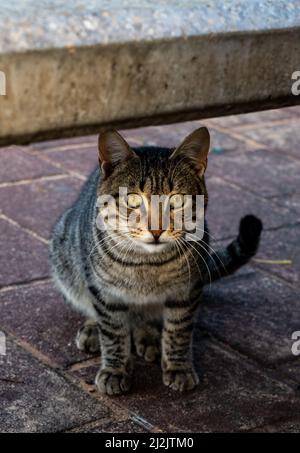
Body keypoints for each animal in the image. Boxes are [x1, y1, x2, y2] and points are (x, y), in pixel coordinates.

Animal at [49, 126, 262, 392]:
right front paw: (114, 369)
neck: (147, 264)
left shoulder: (186, 290)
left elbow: (178, 331)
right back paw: (92, 330)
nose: (157, 230)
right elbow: (113, 332)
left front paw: (178, 367)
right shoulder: (105, 292)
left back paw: (148, 336)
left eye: (177, 200)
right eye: (132, 200)